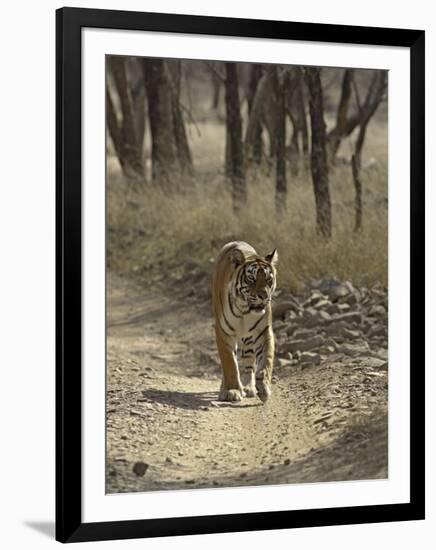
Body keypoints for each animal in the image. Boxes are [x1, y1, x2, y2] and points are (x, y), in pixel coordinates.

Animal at [212, 242, 280, 406]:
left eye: (269, 280)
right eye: (252, 279)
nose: (264, 296)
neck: (244, 309)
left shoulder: (263, 331)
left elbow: (266, 361)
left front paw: (264, 387)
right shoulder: (223, 332)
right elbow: (229, 363)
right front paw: (232, 391)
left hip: (248, 338)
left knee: (248, 362)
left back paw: (249, 387)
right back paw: (226, 389)